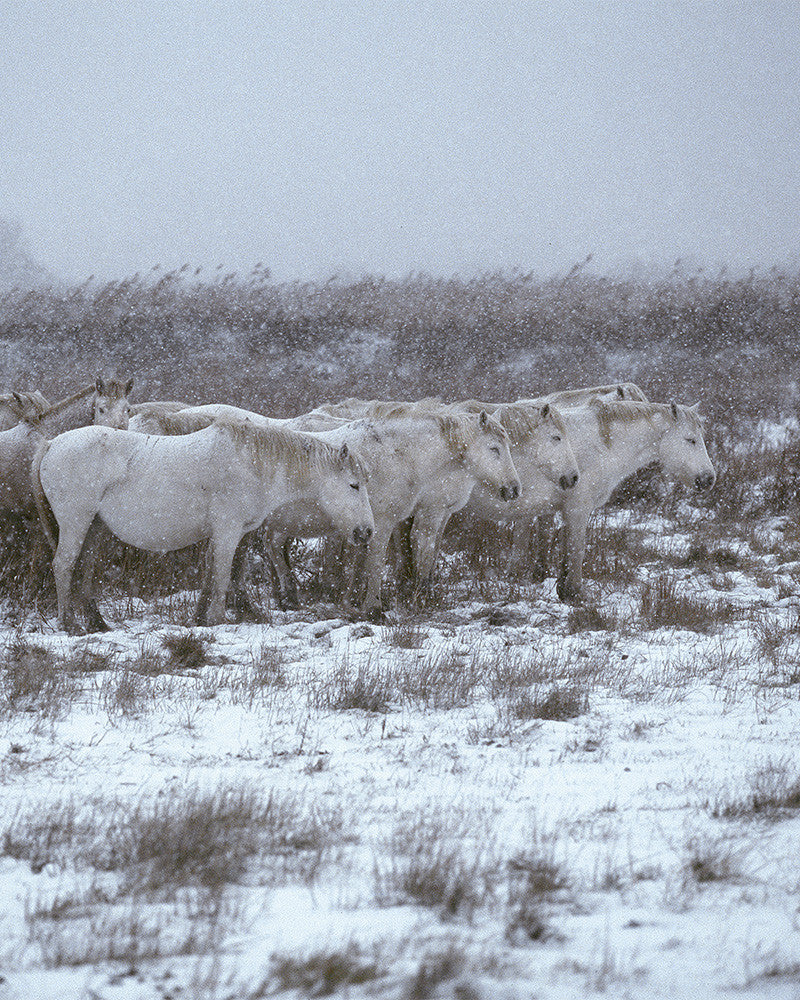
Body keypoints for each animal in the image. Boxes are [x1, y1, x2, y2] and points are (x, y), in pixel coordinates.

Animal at [32, 417, 374, 633]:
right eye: (354, 485)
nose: (366, 531)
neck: (252, 462)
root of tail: (50, 444)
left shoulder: (224, 533)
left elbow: (211, 573)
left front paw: (199, 619)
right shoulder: (228, 530)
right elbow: (222, 574)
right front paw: (219, 619)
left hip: (95, 528)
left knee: (84, 569)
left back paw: (97, 624)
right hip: (77, 522)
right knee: (63, 565)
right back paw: (69, 624)